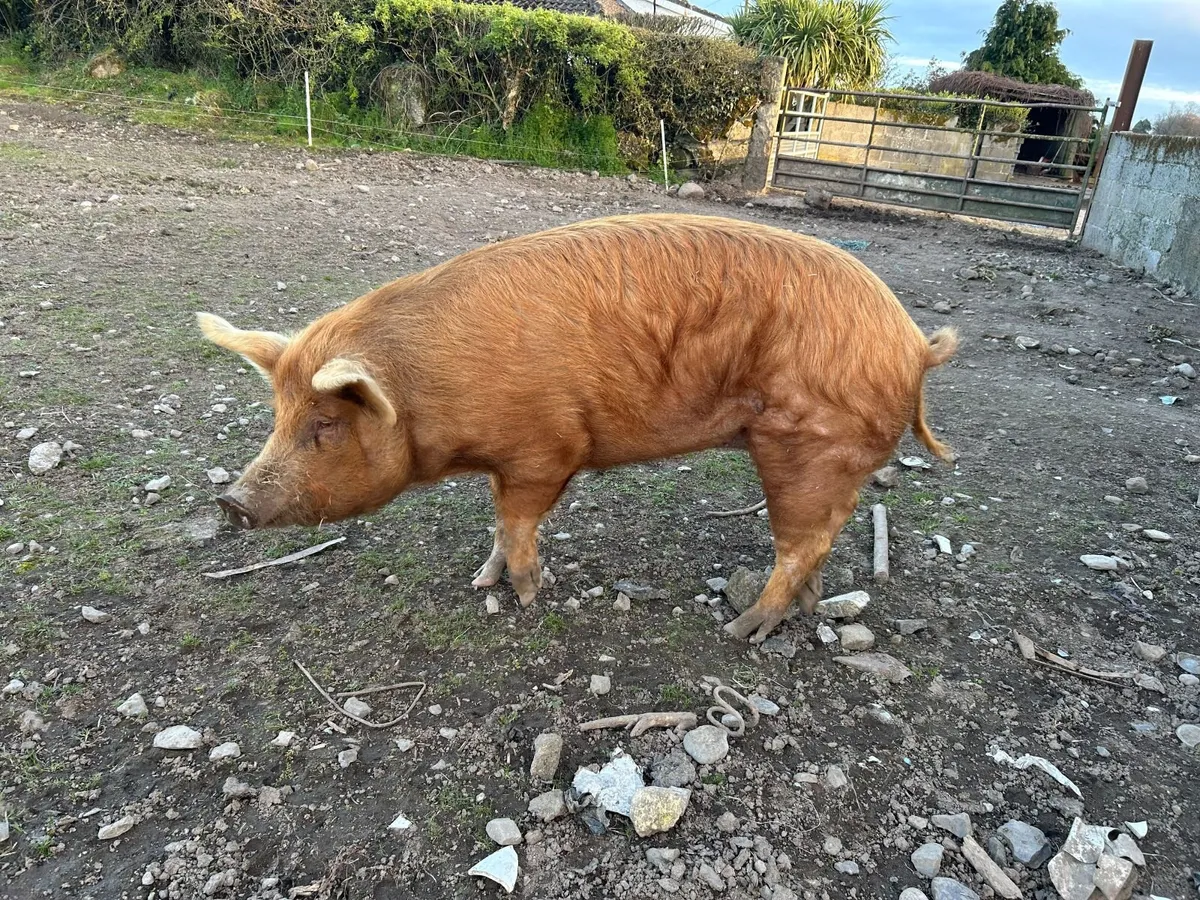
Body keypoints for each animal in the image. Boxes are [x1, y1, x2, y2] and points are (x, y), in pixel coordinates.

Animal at [197, 213, 956, 643]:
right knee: (823, 539)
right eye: (279, 416)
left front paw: (528, 595)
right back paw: (803, 610)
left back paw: (742, 630)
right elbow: (499, 523)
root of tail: (914, 344)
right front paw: (481, 582)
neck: (429, 393)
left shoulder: (546, 450)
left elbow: (519, 522)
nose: (230, 501)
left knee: (801, 543)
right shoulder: (511, 461)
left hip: (808, 446)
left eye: (324, 423)